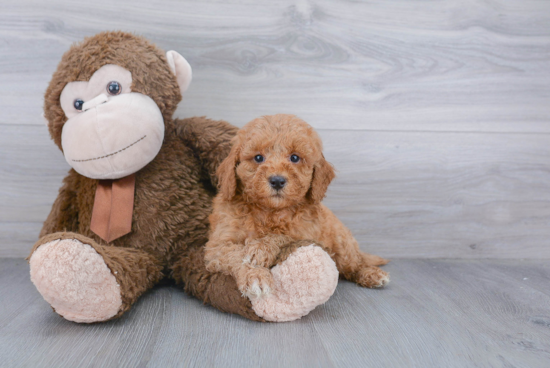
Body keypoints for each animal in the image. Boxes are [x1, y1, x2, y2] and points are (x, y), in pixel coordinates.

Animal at [205, 114, 390, 300]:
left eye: (294, 158)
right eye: (258, 158)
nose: (277, 181)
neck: (270, 211)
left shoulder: (305, 233)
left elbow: (282, 236)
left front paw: (260, 249)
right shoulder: (217, 246)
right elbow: (237, 255)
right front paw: (255, 275)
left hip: (343, 244)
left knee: (353, 264)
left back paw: (372, 274)